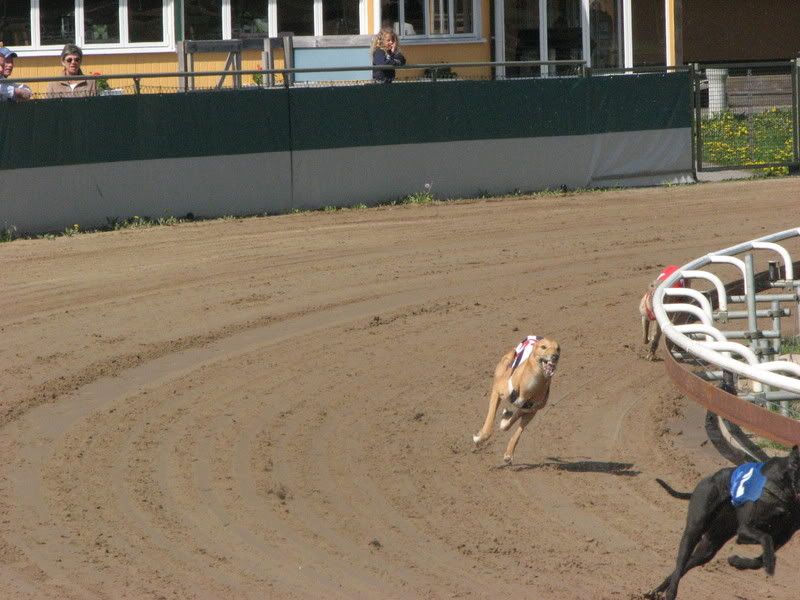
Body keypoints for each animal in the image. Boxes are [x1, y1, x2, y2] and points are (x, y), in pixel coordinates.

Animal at [472, 336, 560, 464]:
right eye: (543, 347)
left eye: (558, 349)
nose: (555, 356)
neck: (530, 386)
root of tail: (534, 337)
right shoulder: (497, 391)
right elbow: (489, 422)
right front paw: (479, 438)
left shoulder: (531, 412)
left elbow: (516, 432)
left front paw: (509, 453)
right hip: (504, 365)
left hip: (523, 408)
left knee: (509, 422)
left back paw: (505, 417)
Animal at [647, 446, 800, 600]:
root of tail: (709, 478)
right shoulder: (745, 529)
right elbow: (766, 538)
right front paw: (768, 564)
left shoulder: (779, 538)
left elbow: (763, 556)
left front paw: (737, 561)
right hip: (694, 529)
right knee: (681, 562)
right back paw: (670, 592)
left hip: (709, 547)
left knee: (687, 564)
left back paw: (656, 591)